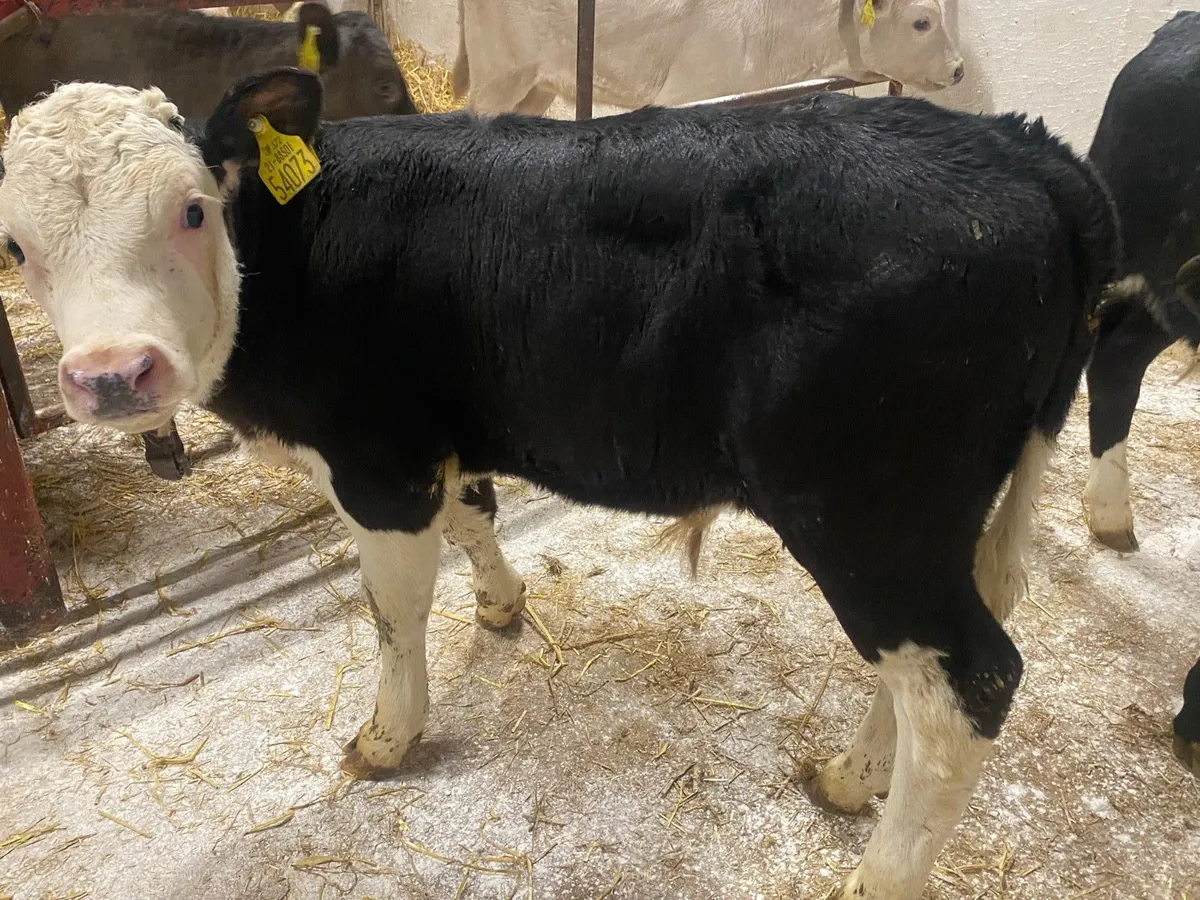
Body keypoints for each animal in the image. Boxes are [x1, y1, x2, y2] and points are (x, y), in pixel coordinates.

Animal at [0, 71, 1117, 899]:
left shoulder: (379, 464)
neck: (289, 249)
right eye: (17, 245)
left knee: (967, 685)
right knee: (924, 670)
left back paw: (876, 873)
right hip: (940, 525)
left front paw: (386, 736)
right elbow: (475, 519)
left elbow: (392, 611)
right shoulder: (444, 441)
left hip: (865, 513)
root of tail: (1024, 150)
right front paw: (502, 605)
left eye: (191, 210)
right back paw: (852, 777)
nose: (111, 375)